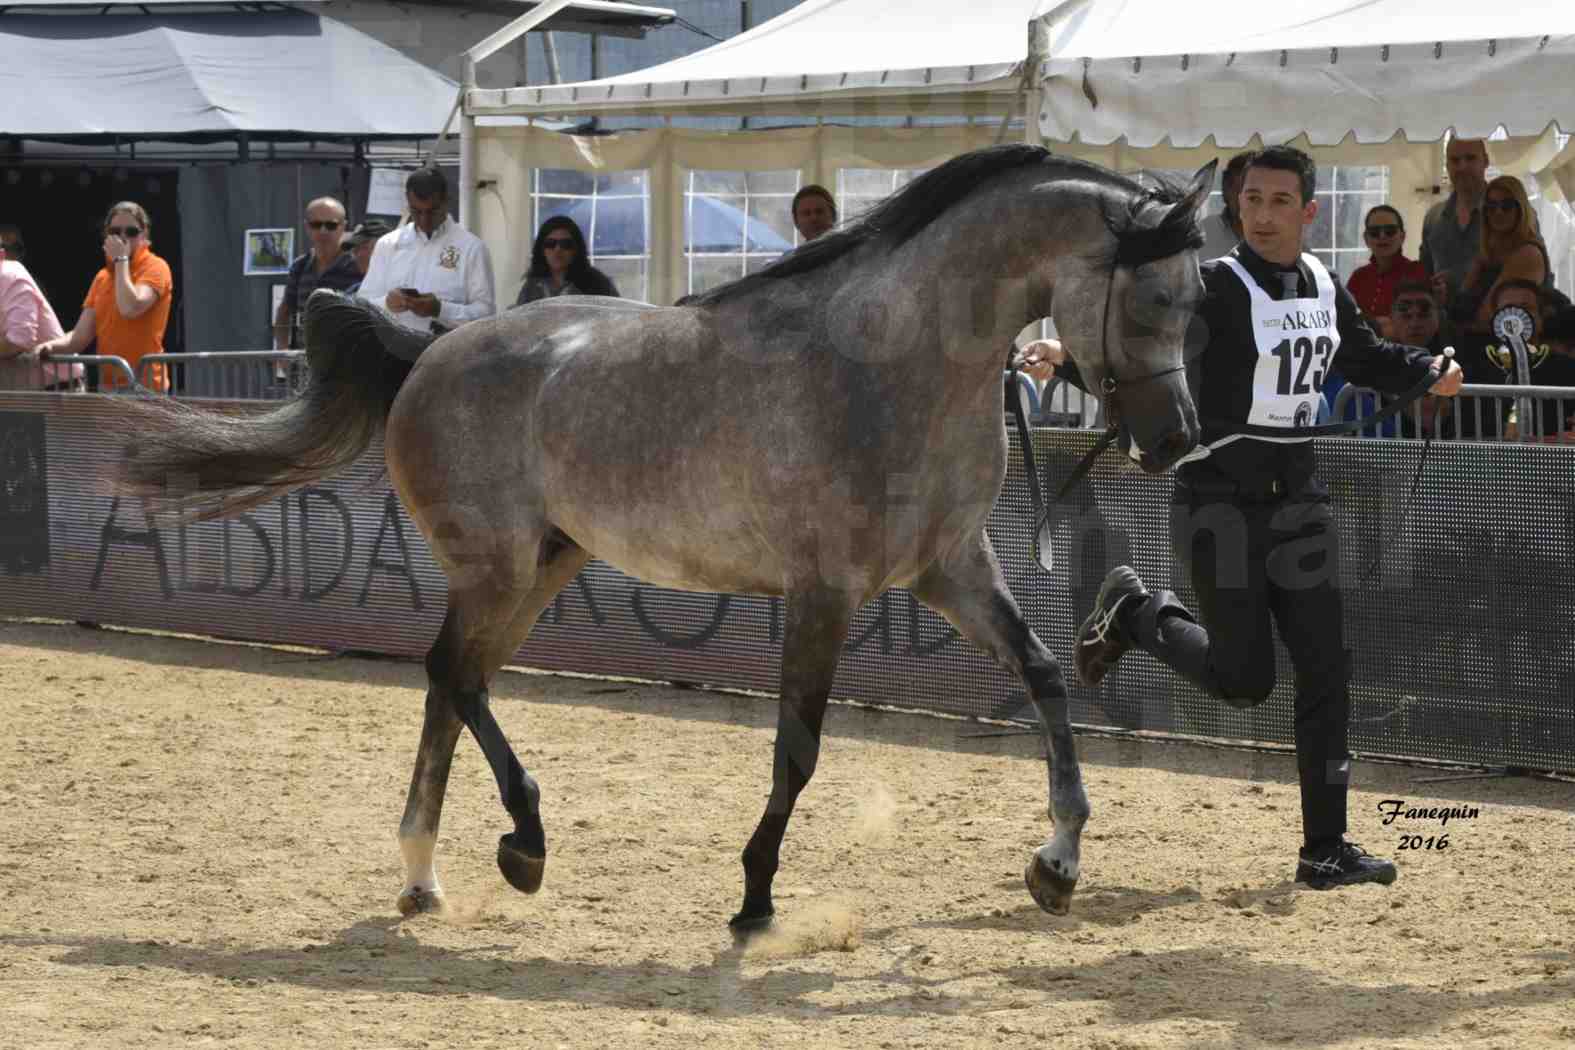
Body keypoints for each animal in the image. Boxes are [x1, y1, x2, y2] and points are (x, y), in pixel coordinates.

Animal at [122, 145, 1209, 925]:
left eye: (1198, 300)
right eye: (1159, 296)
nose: (1175, 443)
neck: (892, 366)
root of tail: (431, 346)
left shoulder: (950, 569)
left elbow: (1045, 676)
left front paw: (1058, 862)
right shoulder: (825, 590)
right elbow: (797, 748)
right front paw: (756, 894)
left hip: (541, 569)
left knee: (453, 684)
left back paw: (429, 875)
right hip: (497, 567)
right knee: (451, 677)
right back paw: (520, 843)